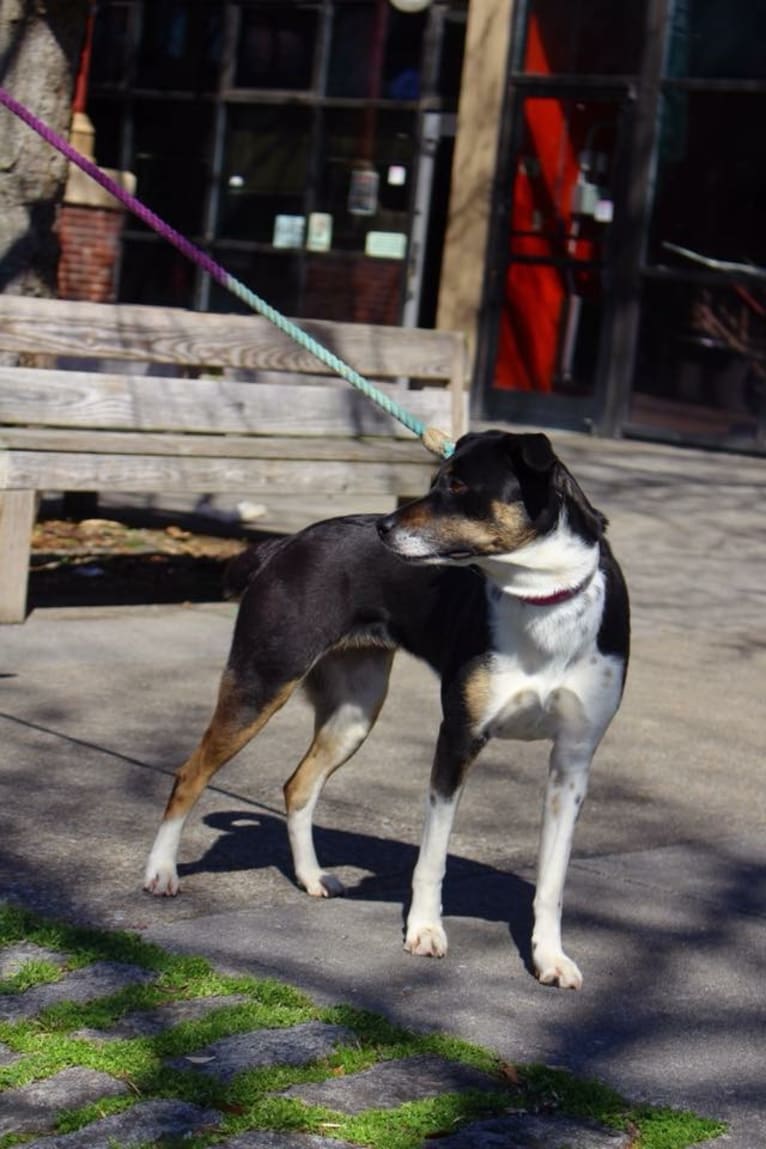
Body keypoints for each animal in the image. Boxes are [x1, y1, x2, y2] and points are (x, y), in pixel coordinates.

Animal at [143, 432, 629, 988]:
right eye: (435, 480)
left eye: (457, 486)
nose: (383, 528)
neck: (544, 600)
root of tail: (287, 543)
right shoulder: (458, 739)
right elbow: (431, 861)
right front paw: (425, 931)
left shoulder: (572, 762)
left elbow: (551, 881)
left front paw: (550, 957)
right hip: (261, 684)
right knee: (190, 774)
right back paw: (161, 872)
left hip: (356, 711)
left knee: (298, 786)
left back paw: (311, 876)